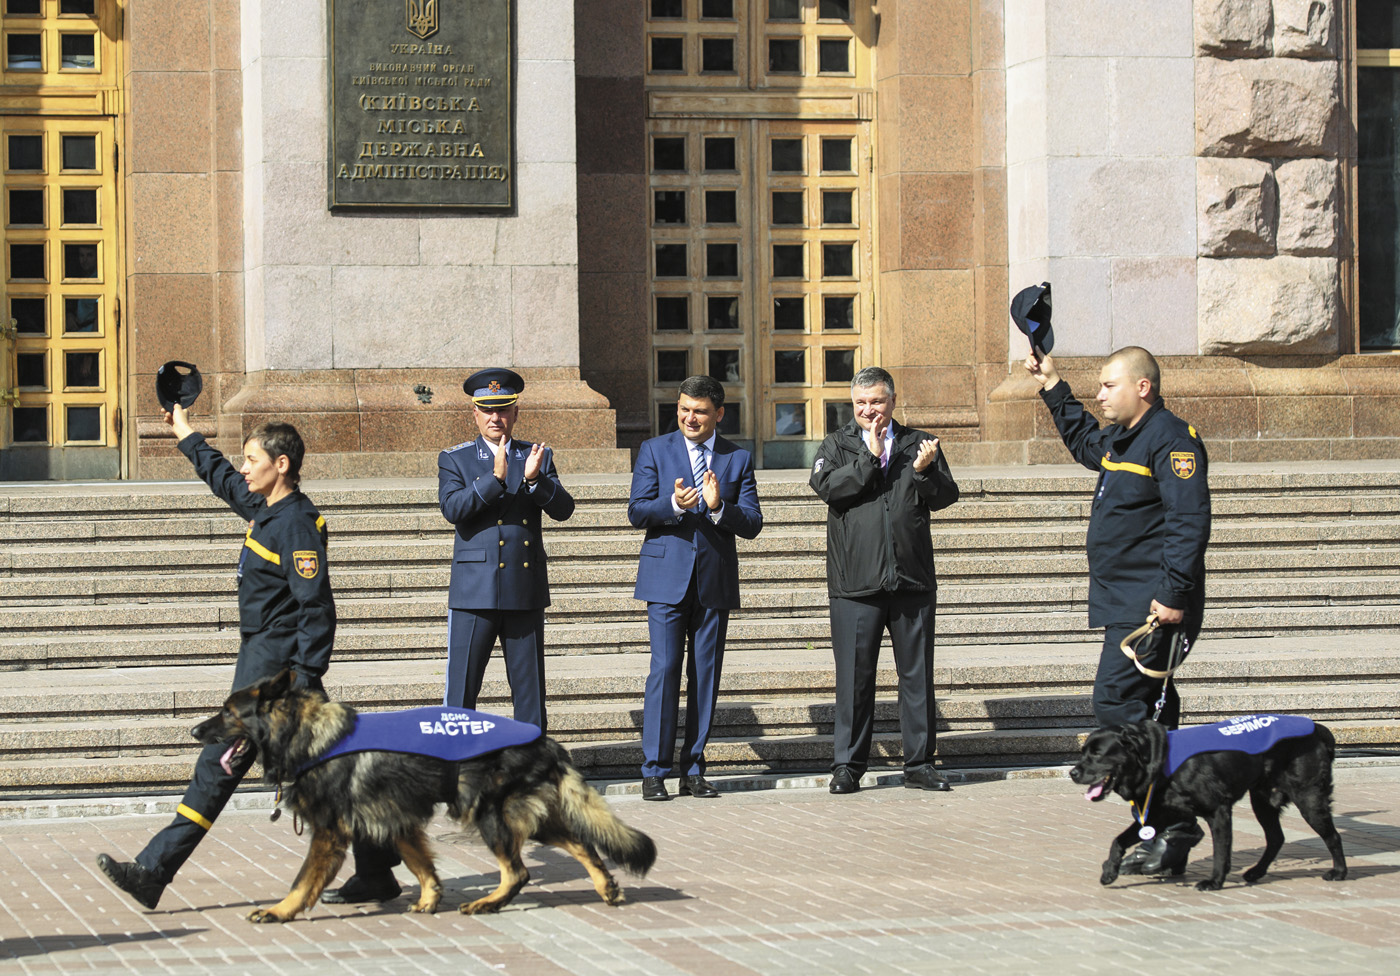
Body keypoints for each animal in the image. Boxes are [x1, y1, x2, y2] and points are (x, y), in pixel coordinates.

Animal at [1069, 716, 1344, 890]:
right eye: (1083, 752)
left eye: (1098, 754)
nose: (1073, 772)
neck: (1161, 759)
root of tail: (1318, 729)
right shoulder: (1159, 814)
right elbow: (1119, 840)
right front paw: (1109, 871)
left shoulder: (1218, 810)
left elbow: (1221, 851)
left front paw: (1214, 882)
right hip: (1262, 800)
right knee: (1276, 838)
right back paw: (1257, 872)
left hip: (1309, 798)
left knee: (1333, 836)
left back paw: (1339, 872)